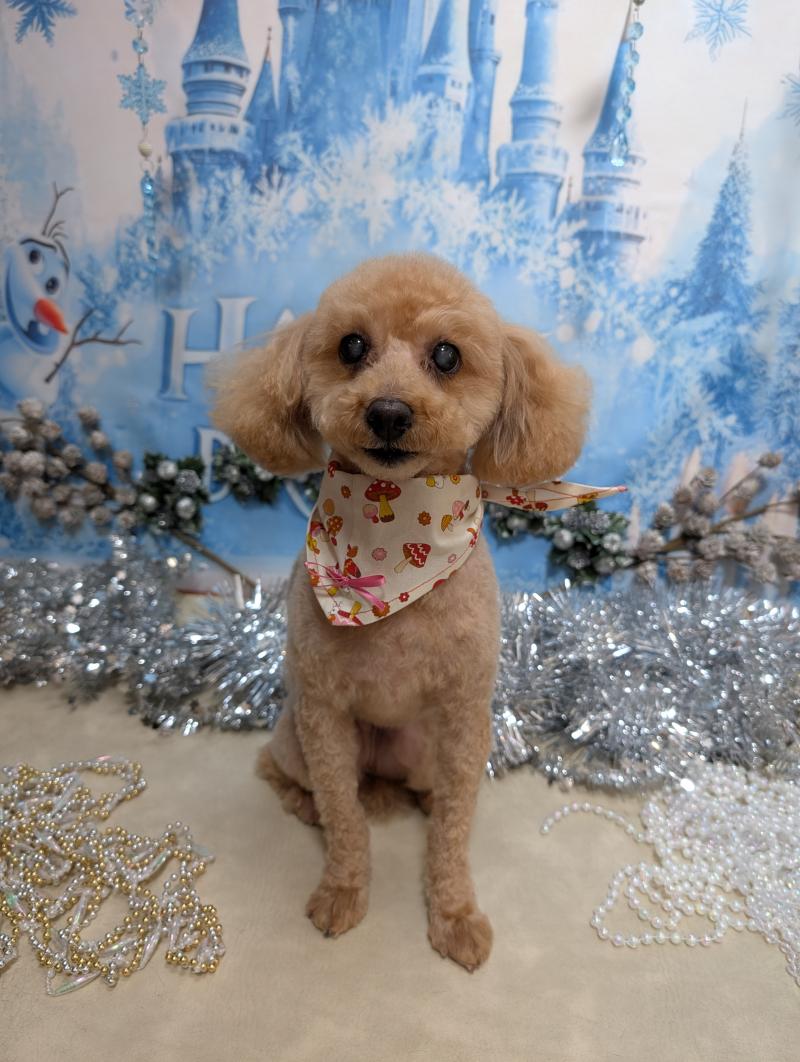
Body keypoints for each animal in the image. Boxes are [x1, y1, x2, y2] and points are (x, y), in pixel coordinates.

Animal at [211, 253, 589, 971]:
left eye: (446, 355)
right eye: (351, 346)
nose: (388, 411)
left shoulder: (466, 716)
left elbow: (453, 835)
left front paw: (455, 915)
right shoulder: (324, 713)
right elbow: (344, 819)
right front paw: (342, 892)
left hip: (424, 748)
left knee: (423, 791)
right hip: (296, 734)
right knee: (282, 770)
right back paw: (308, 803)